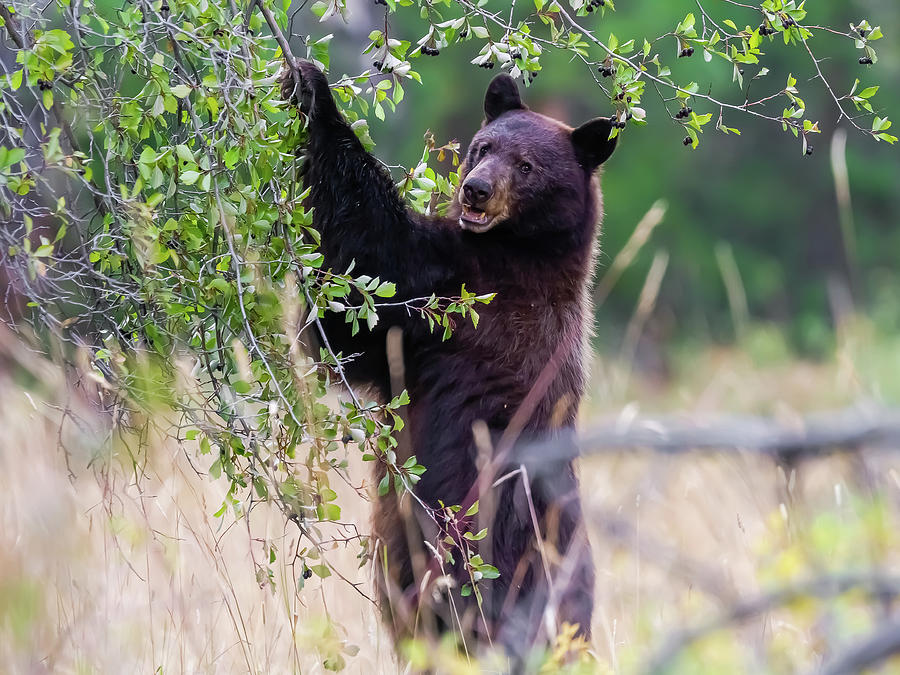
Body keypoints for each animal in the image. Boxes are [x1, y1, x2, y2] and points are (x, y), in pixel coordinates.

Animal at [280, 60, 620, 664]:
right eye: (483, 147)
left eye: (526, 165)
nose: (476, 189)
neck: (523, 249)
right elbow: (348, 338)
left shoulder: (467, 297)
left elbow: (375, 262)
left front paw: (313, 91)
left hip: (493, 572)